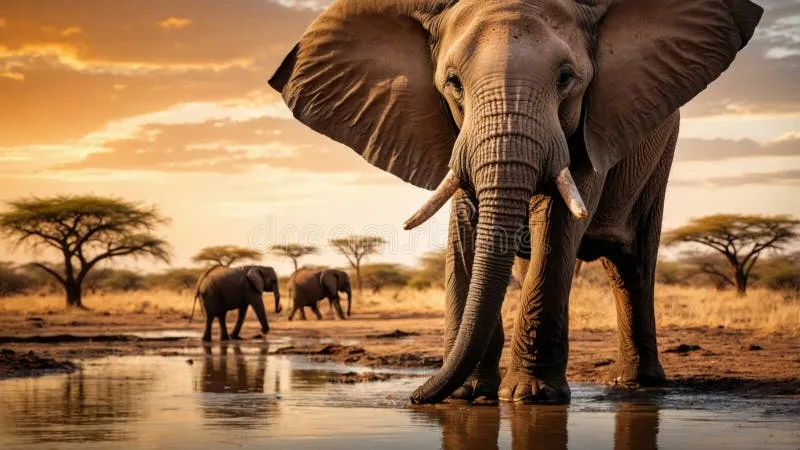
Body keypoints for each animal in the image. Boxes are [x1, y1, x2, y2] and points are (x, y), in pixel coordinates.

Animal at [269, 0, 762, 404]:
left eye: (566, 79)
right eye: (453, 83)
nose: (413, 399)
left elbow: (557, 222)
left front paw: (531, 397)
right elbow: (466, 222)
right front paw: (469, 396)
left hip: (659, 152)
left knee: (632, 264)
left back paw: (639, 385)